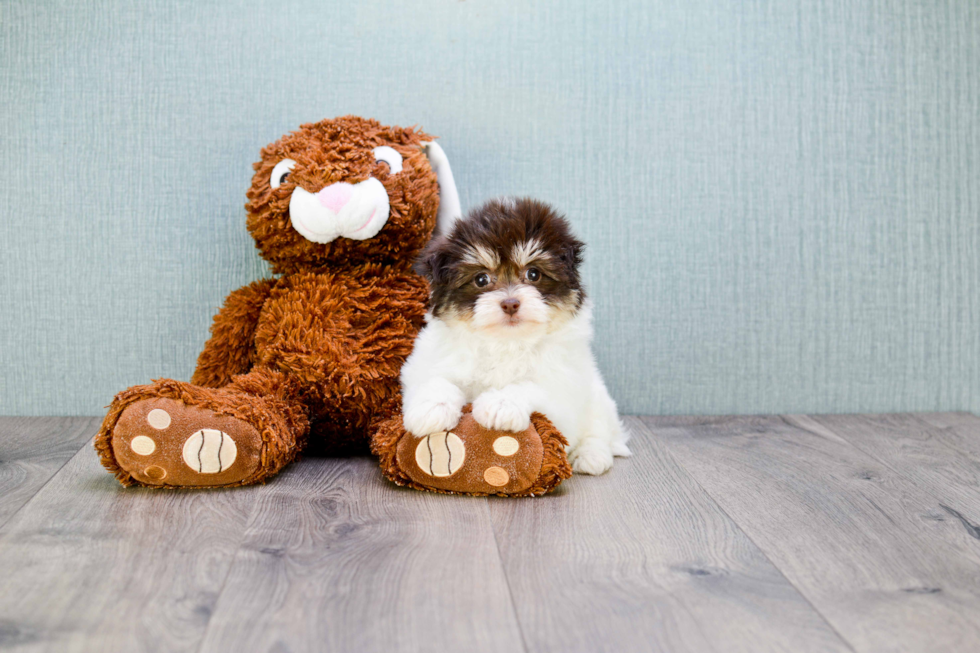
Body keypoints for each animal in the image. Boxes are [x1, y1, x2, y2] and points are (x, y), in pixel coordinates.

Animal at [402, 195, 632, 474]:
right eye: (481, 279)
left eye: (533, 274)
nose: (510, 303)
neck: (506, 342)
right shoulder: (428, 361)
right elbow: (435, 379)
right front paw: (431, 409)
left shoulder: (563, 384)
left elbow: (531, 386)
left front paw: (500, 404)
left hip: (597, 396)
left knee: (599, 428)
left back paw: (591, 455)